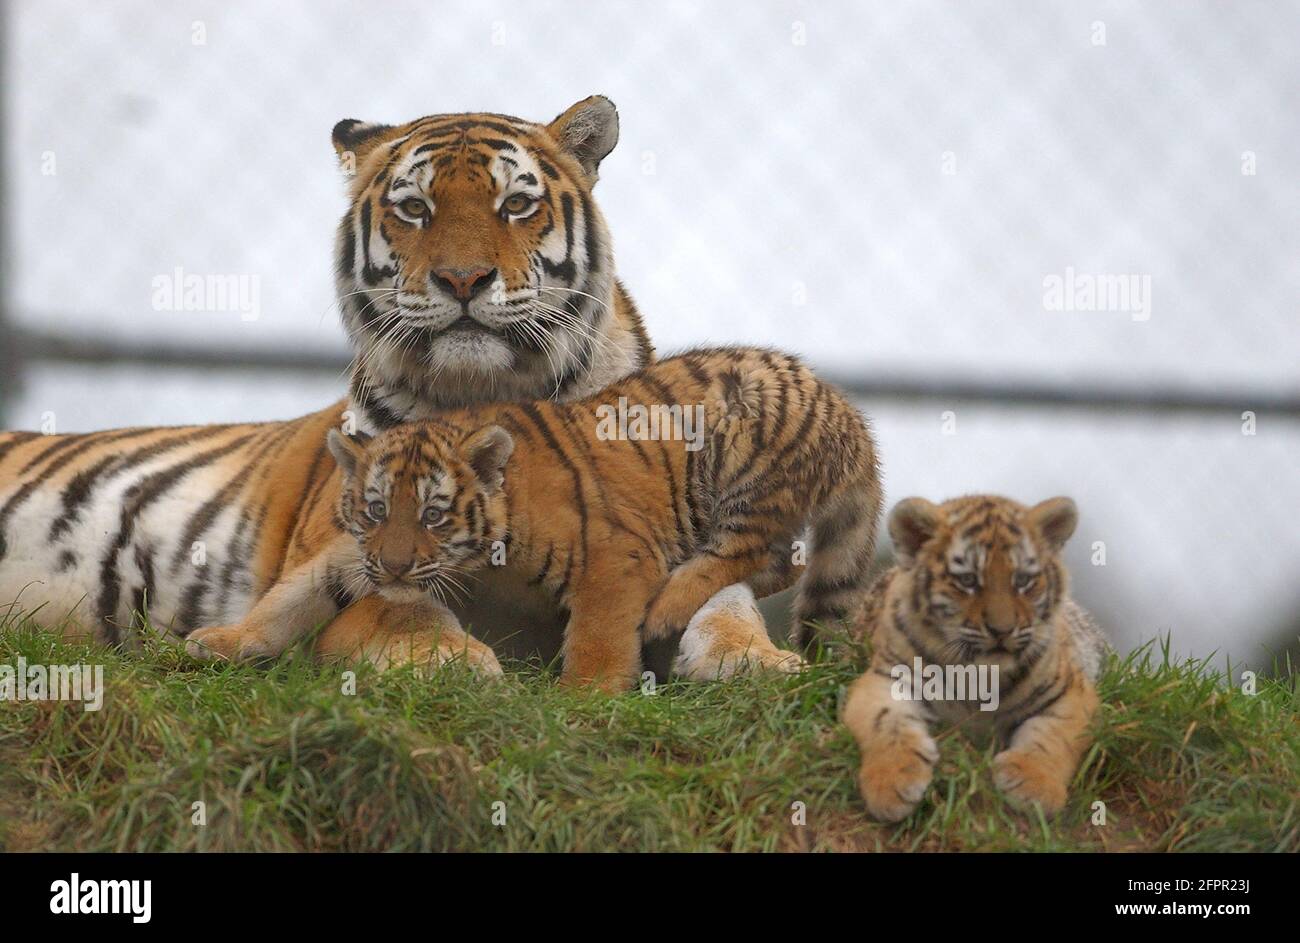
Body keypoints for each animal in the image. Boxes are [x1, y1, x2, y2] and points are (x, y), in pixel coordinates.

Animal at [0, 97, 790, 676]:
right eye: (415, 209)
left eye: (515, 205)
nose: (464, 279)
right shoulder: (349, 549)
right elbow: (396, 602)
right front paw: (454, 659)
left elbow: (724, 594)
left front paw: (754, 658)